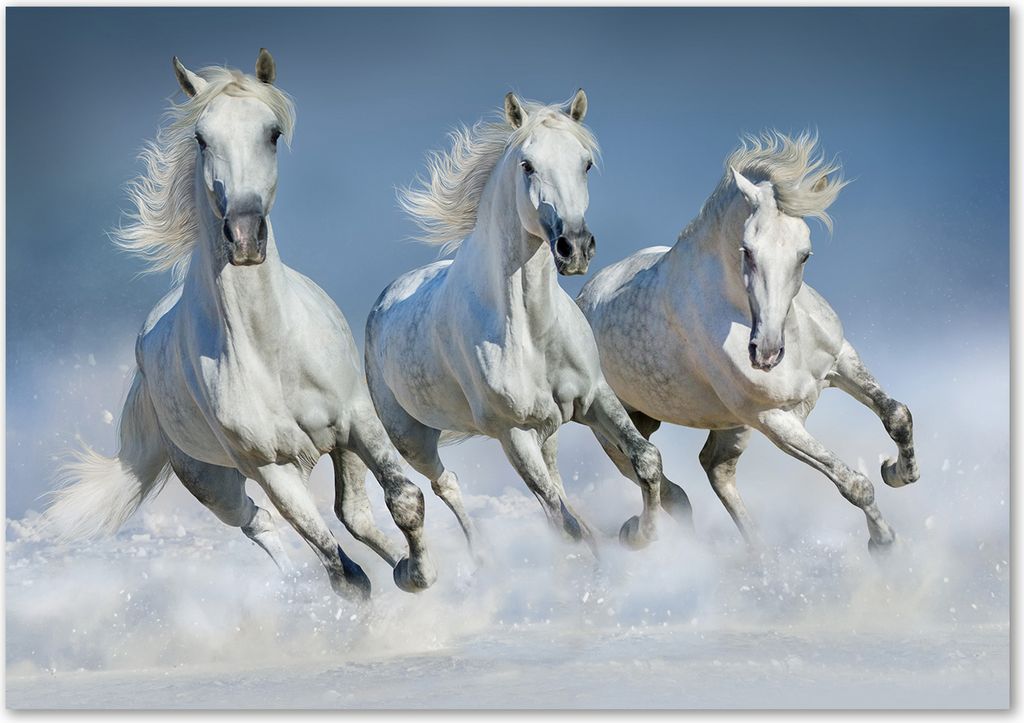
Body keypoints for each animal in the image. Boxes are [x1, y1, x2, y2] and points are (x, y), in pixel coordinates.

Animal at [46, 50, 437, 600]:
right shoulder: (271, 466)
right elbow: (341, 572)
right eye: (201, 138)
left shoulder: (357, 420)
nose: (245, 236)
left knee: (353, 514)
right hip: (212, 482)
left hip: (338, 446)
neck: (270, 348)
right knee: (260, 523)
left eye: (272, 133)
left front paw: (418, 573)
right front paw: (395, 586)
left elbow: (404, 499)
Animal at [365, 91, 693, 562]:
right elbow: (562, 522)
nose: (575, 248)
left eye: (585, 163)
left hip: (547, 429)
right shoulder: (512, 433)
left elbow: (646, 460)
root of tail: (384, 300)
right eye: (527, 164)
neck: (530, 331)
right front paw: (628, 538)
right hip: (414, 439)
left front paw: (638, 533)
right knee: (447, 485)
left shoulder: (595, 397)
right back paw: (479, 557)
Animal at [576, 131, 919, 554]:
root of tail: (583, 297)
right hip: (616, 423)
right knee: (656, 478)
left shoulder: (841, 361)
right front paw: (884, 543)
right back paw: (641, 534)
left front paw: (898, 472)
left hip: (726, 424)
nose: (766, 354)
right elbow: (853, 483)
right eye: (748, 251)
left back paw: (760, 553)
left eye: (805, 255)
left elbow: (897, 415)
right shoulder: (771, 418)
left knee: (715, 467)